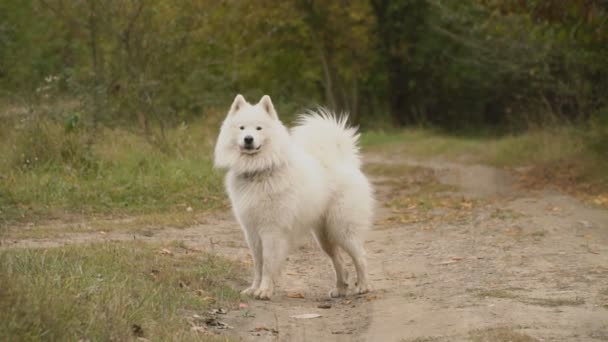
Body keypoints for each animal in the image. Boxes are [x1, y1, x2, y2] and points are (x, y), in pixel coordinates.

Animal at [216, 94, 372, 300]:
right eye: (241, 128)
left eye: (259, 128)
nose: (248, 139)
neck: (260, 170)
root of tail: (343, 161)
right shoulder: (251, 231)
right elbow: (257, 263)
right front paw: (254, 288)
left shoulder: (271, 230)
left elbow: (268, 263)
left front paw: (264, 290)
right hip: (324, 236)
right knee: (338, 260)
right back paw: (340, 288)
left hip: (343, 229)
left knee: (361, 257)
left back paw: (363, 286)